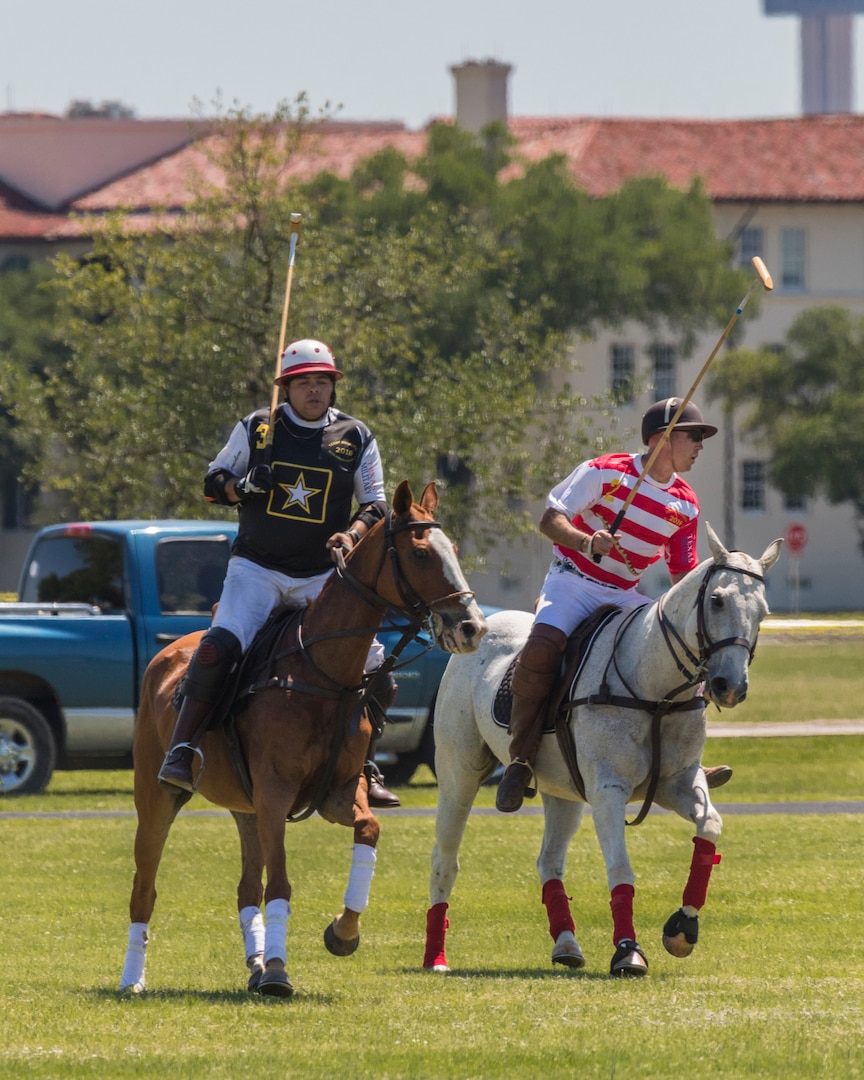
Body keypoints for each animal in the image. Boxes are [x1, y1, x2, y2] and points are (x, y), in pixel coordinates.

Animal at [119, 481, 486, 993]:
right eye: (420, 554)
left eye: (450, 547)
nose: (472, 627)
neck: (323, 674)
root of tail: (169, 652)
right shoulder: (276, 792)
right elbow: (281, 884)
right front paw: (278, 970)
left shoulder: (336, 792)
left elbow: (369, 829)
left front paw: (342, 932)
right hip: (157, 796)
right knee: (144, 887)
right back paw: (133, 978)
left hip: (245, 807)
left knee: (246, 887)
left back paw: (254, 965)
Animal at [425, 522, 781, 980]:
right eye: (717, 600)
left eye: (763, 611)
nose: (729, 687)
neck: (656, 690)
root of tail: (485, 625)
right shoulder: (608, 790)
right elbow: (620, 869)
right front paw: (628, 951)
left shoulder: (679, 784)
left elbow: (710, 830)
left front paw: (683, 927)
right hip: (459, 771)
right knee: (445, 858)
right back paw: (435, 957)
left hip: (561, 790)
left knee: (549, 861)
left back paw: (566, 944)